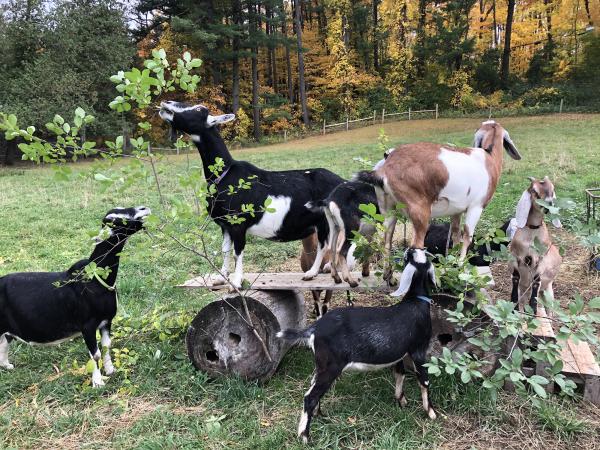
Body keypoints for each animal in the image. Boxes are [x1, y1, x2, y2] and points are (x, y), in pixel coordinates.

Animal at [0, 207, 150, 386]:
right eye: (115, 220)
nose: (144, 209)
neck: (96, 281)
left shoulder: (107, 321)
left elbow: (106, 346)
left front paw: (110, 370)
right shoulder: (87, 325)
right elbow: (95, 354)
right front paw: (98, 383)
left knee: (4, 342)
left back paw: (6, 365)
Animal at [159, 101, 344, 288]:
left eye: (199, 109)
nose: (166, 103)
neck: (225, 173)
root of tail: (342, 181)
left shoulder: (238, 224)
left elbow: (237, 251)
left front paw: (236, 282)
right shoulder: (225, 225)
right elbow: (225, 249)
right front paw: (221, 277)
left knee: (328, 244)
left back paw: (313, 273)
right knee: (328, 244)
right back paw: (323, 269)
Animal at [278, 246, 438, 442]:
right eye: (410, 256)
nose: (411, 247)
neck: (416, 301)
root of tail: (315, 328)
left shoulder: (400, 353)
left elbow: (399, 374)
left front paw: (401, 400)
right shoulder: (418, 350)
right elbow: (424, 379)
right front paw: (431, 412)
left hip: (321, 364)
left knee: (311, 388)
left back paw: (318, 414)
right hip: (331, 366)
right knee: (310, 397)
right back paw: (305, 436)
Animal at [356, 120, 520, 284]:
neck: (489, 157)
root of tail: (384, 170)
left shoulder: (456, 211)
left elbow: (456, 235)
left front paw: (453, 264)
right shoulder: (476, 207)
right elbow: (467, 236)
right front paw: (461, 267)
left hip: (388, 208)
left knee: (387, 239)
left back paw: (388, 277)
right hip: (419, 210)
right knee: (415, 246)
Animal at [508, 176, 564, 312]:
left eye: (552, 189)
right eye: (534, 191)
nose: (549, 205)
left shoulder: (541, 260)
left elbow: (536, 282)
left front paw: (533, 309)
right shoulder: (515, 257)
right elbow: (515, 278)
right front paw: (513, 306)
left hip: (548, 292)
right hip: (524, 289)